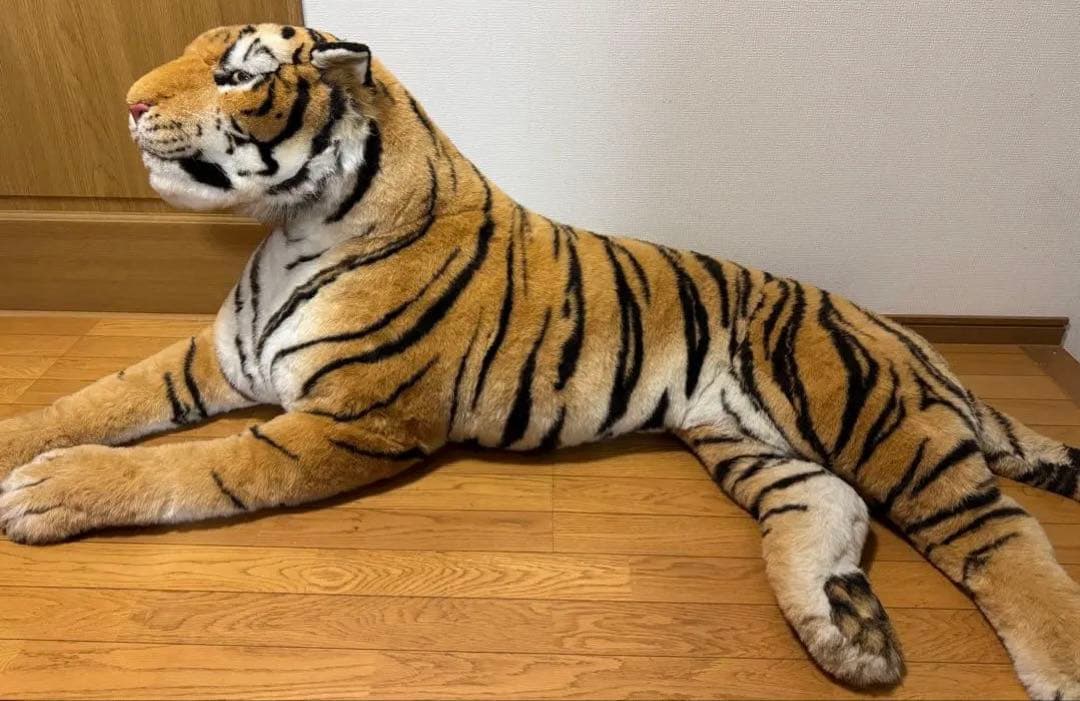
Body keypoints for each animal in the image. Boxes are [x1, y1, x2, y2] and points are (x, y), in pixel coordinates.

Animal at [0, 22, 1077, 698]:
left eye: (238, 74)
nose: (127, 103)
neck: (294, 227)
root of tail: (903, 328)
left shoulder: (353, 421)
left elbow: (196, 465)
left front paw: (49, 490)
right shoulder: (220, 359)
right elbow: (99, 395)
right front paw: (22, 438)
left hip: (871, 413)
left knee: (1000, 533)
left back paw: (1053, 661)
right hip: (756, 447)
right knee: (829, 508)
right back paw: (847, 633)